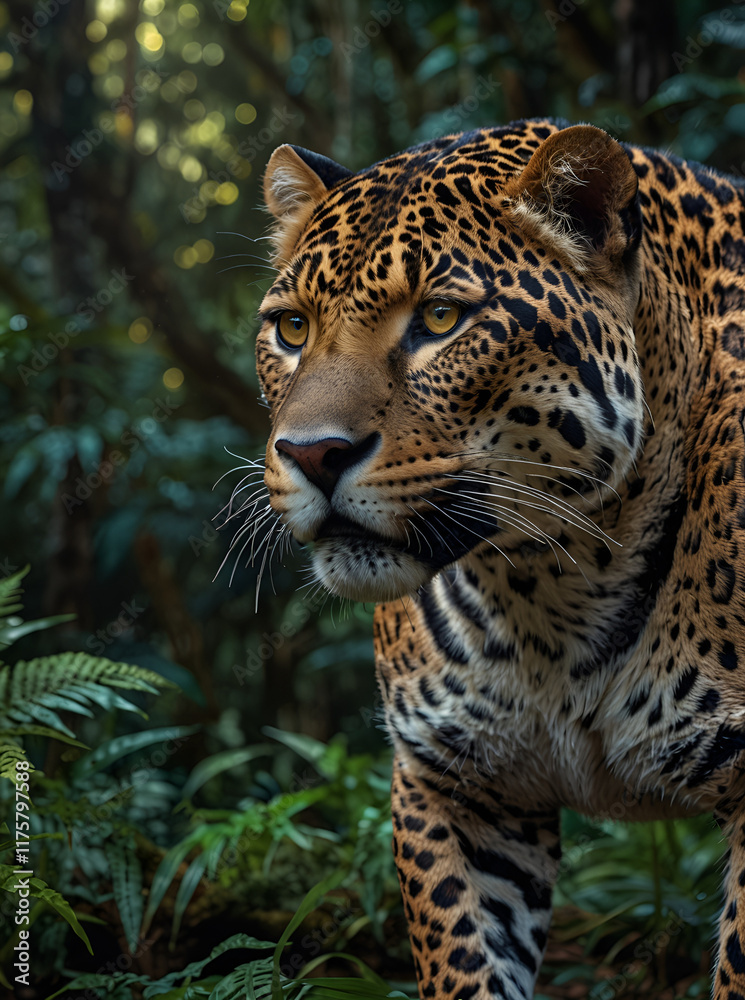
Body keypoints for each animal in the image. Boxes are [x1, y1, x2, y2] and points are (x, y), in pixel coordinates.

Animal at [252, 117, 745, 999]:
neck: (550, 587)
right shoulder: (455, 791)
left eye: (441, 318)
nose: (311, 454)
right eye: (292, 329)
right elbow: (460, 961)